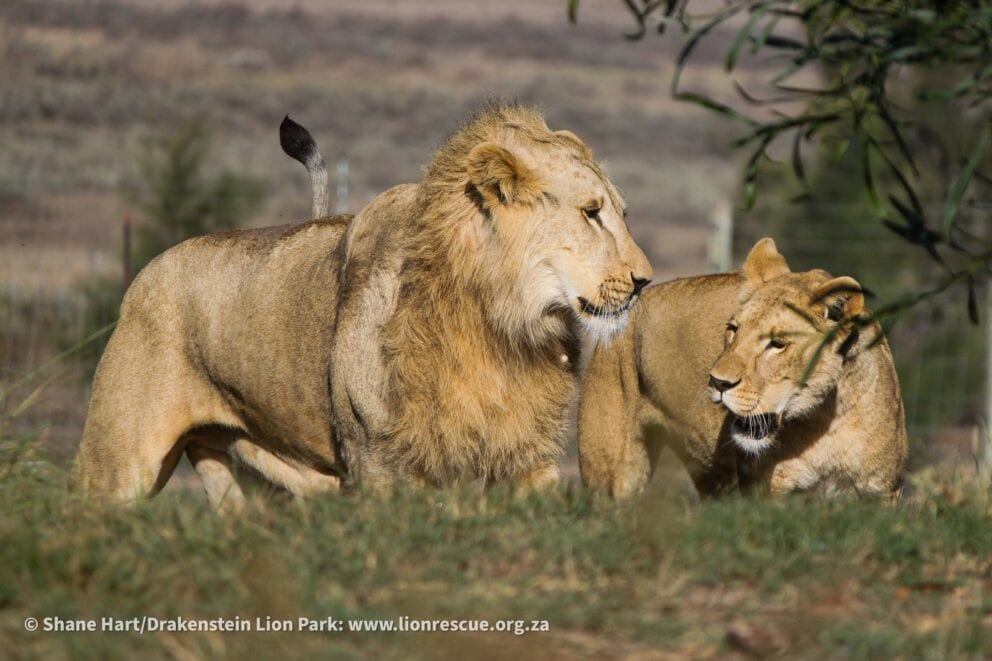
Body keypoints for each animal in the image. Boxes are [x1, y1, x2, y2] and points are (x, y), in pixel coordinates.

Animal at [69, 103, 653, 508]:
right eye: (592, 213)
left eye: (621, 213)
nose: (644, 281)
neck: (500, 324)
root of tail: (147, 271)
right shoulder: (380, 464)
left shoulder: (528, 455)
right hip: (118, 465)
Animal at [578, 238, 907, 499]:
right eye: (733, 329)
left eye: (777, 344)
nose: (718, 382)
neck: (823, 419)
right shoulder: (768, 492)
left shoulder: (880, 492)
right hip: (611, 474)